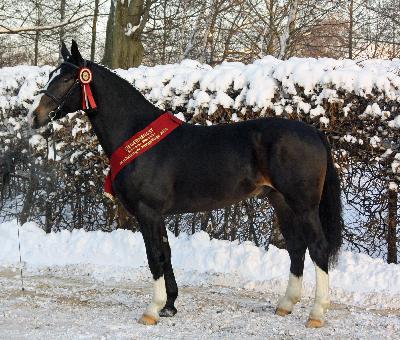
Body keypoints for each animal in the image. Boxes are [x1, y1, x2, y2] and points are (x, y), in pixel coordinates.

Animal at [29, 40, 342, 330]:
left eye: (68, 78)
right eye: (52, 74)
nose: (35, 117)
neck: (136, 135)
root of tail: (313, 131)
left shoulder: (147, 212)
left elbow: (154, 256)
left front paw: (152, 310)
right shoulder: (158, 215)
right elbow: (166, 254)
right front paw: (169, 305)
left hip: (304, 205)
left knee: (318, 247)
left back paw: (316, 313)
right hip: (280, 201)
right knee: (296, 246)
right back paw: (286, 304)